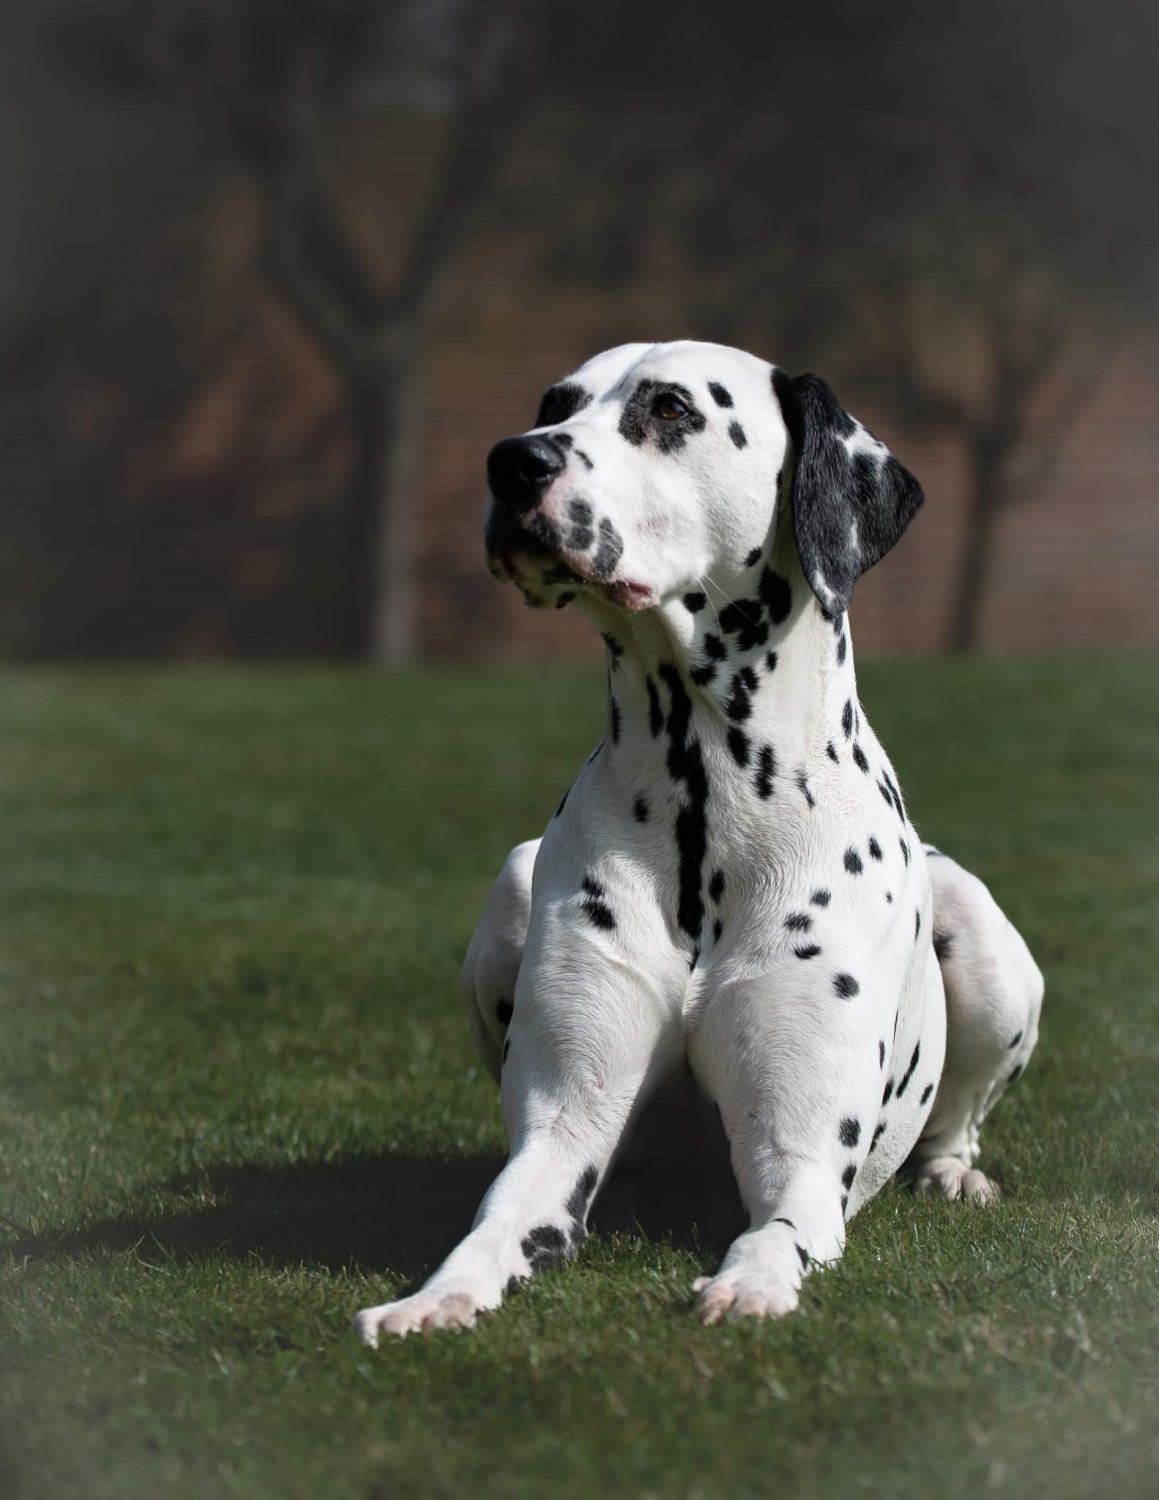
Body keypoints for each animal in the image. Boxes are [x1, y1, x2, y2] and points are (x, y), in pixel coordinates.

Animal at [354, 340, 1044, 1342]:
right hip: (511, 888)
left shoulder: (799, 1160)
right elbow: (491, 1227)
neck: (703, 807)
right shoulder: (561, 1135)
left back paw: (953, 1174)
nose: (512, 461)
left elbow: (774, 1235)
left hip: (984, 945)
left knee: (959, 1119)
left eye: (671, 409)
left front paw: (748, 1287)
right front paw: (431, 1298)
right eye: (554, 404)